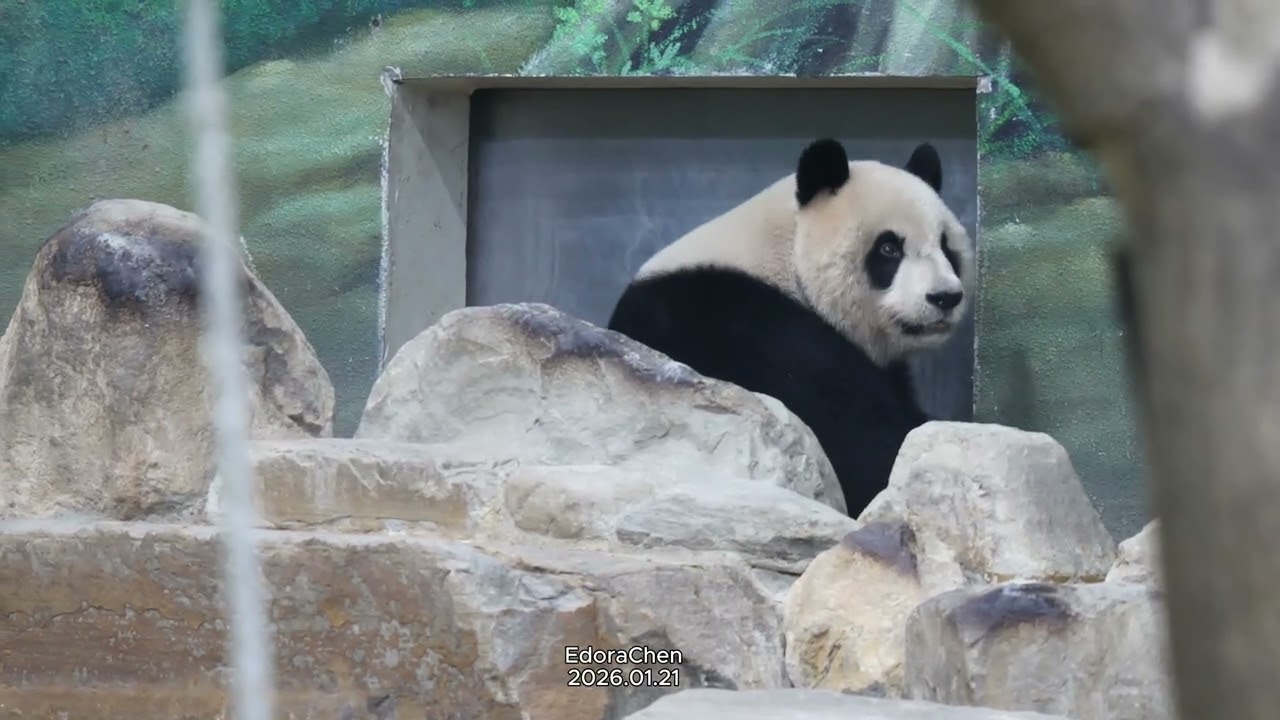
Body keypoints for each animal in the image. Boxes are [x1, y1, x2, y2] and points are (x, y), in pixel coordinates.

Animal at [606, 137, 976, 517]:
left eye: (946, 247)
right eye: (888, 248)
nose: (945, 297)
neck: (782, 256)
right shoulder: (749, 328)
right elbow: (861, 439)